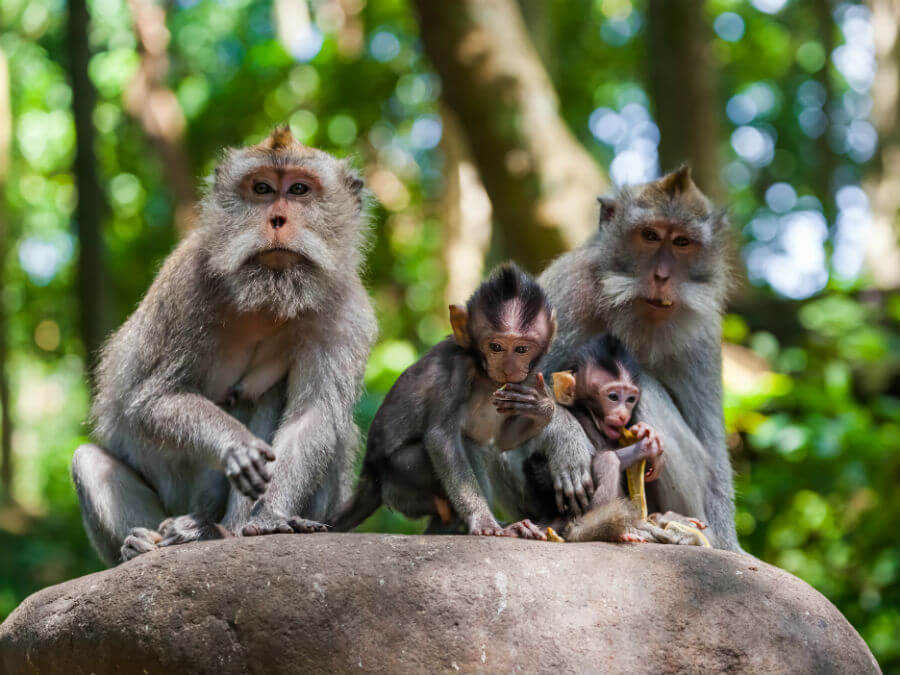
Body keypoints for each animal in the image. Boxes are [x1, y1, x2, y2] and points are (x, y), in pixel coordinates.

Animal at [71, 126, 377, 565]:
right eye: (262, 189)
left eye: (299, 189)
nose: (277, 218)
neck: (268, 294)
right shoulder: (186, 285)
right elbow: (153, 399)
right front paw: (236, 445)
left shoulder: (347, 314)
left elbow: (313, 416)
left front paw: (268, 517)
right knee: (90, 462)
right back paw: (142, 544)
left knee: (292, 408)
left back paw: (215, 532)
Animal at [331, 263, 557, 539]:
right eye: (496, 347)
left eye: (522, 349)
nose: (508, 367)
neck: (481, 372)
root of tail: (371, 475)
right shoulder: (455, 371)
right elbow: (441, 438)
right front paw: (483, 520)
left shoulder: (525, 379)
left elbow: (502, 442)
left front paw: (541, 407)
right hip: (401, 479)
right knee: (465, 445)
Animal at [535, 165, 741, 550]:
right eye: (649, 235)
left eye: (681, 242)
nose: (662, 276)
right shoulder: (566, 288)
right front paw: (566, 442)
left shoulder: (704, 330)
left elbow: (712, 448)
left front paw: (728, 544)